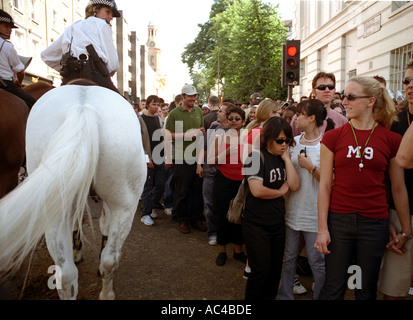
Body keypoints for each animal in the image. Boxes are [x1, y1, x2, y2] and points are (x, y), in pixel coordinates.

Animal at [0, 85, 146, 300]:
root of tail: (82, 107)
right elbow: (102, 225)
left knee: (68, 272)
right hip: (125, 205)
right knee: (105, 261)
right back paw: (106, 293)